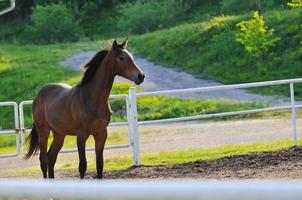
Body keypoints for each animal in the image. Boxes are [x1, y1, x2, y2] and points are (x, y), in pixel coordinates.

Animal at [24, 38, 145, 179]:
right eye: (122, 58)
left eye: (131, 56)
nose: (141, 76)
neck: (91, 98)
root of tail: (38, 95)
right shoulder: (81, 136)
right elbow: (82, 165)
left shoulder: (101, 134)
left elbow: (99, 164)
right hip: (43, 131)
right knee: (43, 160)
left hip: (59, 134)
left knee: (51, 158)